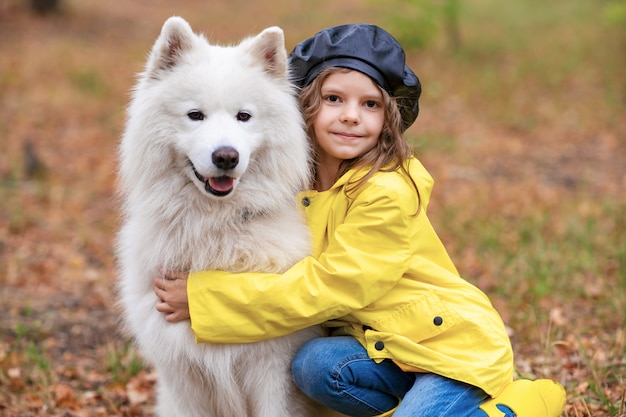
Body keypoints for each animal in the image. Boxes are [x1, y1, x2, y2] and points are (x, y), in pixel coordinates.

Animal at [116, 17, 322, 416]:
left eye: (244, 116)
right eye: (195, 115)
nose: (226, 156)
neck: (215, 229)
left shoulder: (273, 371)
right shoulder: (183, 377)